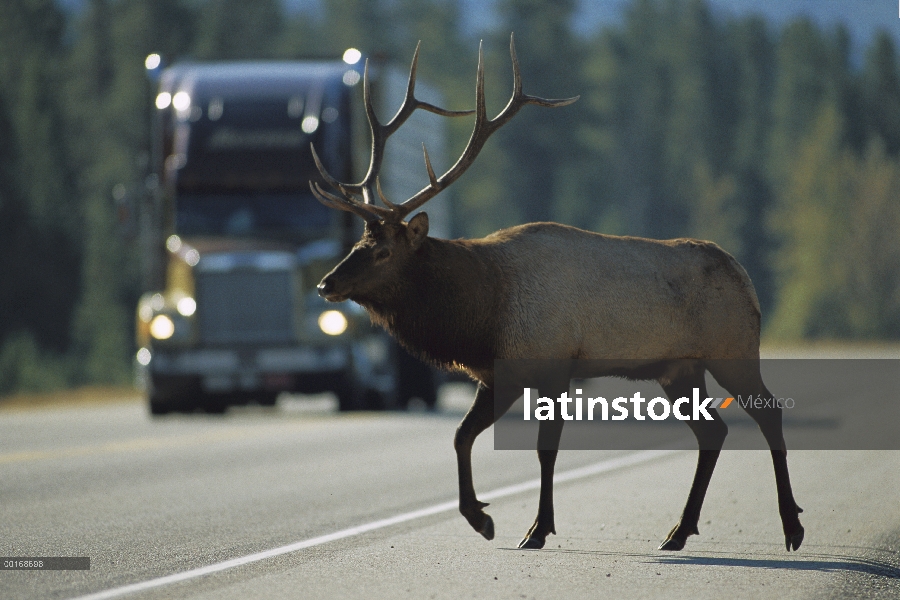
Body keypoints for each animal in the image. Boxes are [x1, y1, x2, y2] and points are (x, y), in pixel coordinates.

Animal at [312, 36, 804, 552]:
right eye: (357, 242)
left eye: (383, 250)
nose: (327, 284)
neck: (482, 311)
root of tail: (746, 277)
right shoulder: (497, 374)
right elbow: (461, 436)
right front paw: (481, 518)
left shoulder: (553, 365)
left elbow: (544, 449)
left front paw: (536, 529)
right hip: (680, 369)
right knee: (713, 431)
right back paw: (678, 531)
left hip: (733, 349)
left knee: (768, 414)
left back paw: (791, 526)